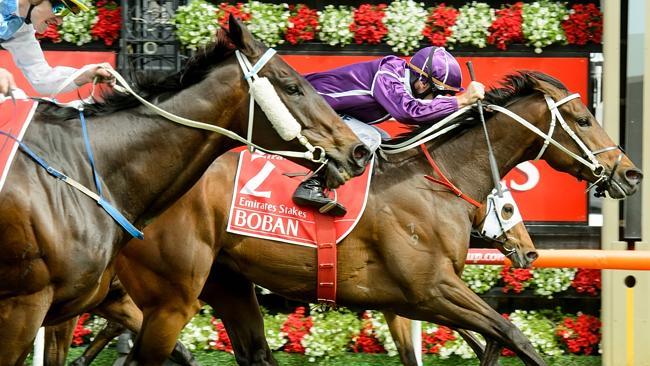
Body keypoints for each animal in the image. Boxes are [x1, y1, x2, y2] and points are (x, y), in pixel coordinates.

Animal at [114, 71, 640, 366]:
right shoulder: (431, 288)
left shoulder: (409, 300)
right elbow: (513, 336)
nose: (630, 174)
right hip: (173, 293)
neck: (440, 181)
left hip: (226, 282)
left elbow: (488, 341)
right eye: (583, 118)